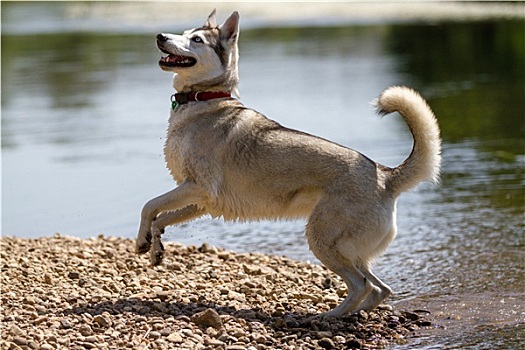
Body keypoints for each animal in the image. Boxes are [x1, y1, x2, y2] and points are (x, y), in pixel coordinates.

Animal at [135, 10, 438, 318]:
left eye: (196, 40)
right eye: (183, 33)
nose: (160, 36)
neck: (202, 100)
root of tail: (385, 176)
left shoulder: (199, 188)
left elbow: (149, 205)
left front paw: (141, 240)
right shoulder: (200, 200)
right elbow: (160, 216)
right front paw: (153, 247)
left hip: (322, 240)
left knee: (362, 286)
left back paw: (327, 317)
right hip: (350, 250)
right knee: (380, 288)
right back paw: (351, 314)